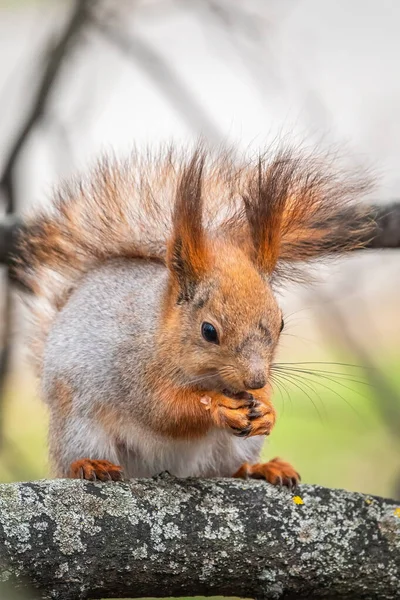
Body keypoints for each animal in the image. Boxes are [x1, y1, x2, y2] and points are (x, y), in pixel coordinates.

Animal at [14, 145, 372, 488]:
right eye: (208, 331)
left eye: (281, 323)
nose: (256, 380)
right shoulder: (133, 372)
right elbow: (165, 411)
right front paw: (217, 405)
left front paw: (267, 408)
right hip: (79, 425)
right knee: (73, 459)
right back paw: (90, 465)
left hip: (234, 447)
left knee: (229, 469)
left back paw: (262, 468)